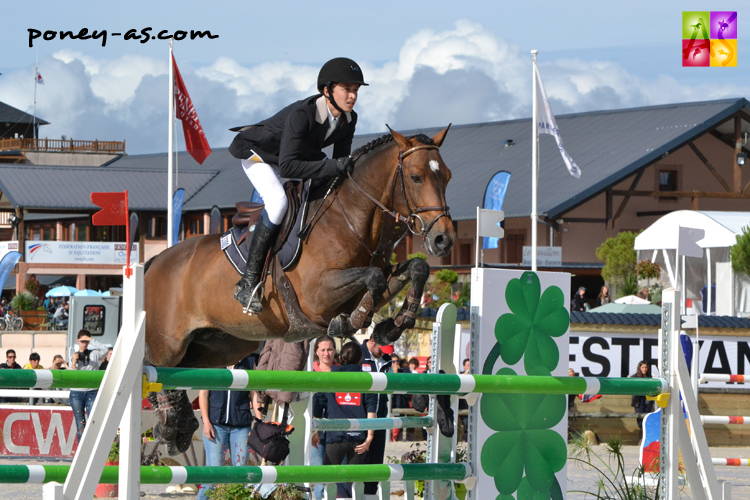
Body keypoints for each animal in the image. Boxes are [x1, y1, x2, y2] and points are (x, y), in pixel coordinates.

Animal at [143, 125, 456, 454]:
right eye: (416, 177)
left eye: (447, 176)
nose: (443, 240)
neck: (351, 219)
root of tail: (155, 262)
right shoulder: (317, 296)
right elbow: (373, 279)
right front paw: (353, 322)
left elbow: (413, 270)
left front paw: (392, 326)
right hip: (168, 343)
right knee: (152, 367)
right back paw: (169, 423)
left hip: (220, 345)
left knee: (179, 373)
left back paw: (178, 427)